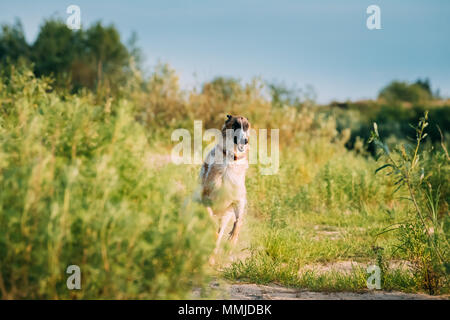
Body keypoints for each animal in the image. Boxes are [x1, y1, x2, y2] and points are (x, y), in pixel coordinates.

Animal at [200, 114, 251, 258]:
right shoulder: (206, 199)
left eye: (246, 127)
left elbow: (238, 222)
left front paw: (232, 240)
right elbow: (210, 222)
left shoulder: (239, 200)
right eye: (235, 125)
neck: (231, 158)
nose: (245, 141)